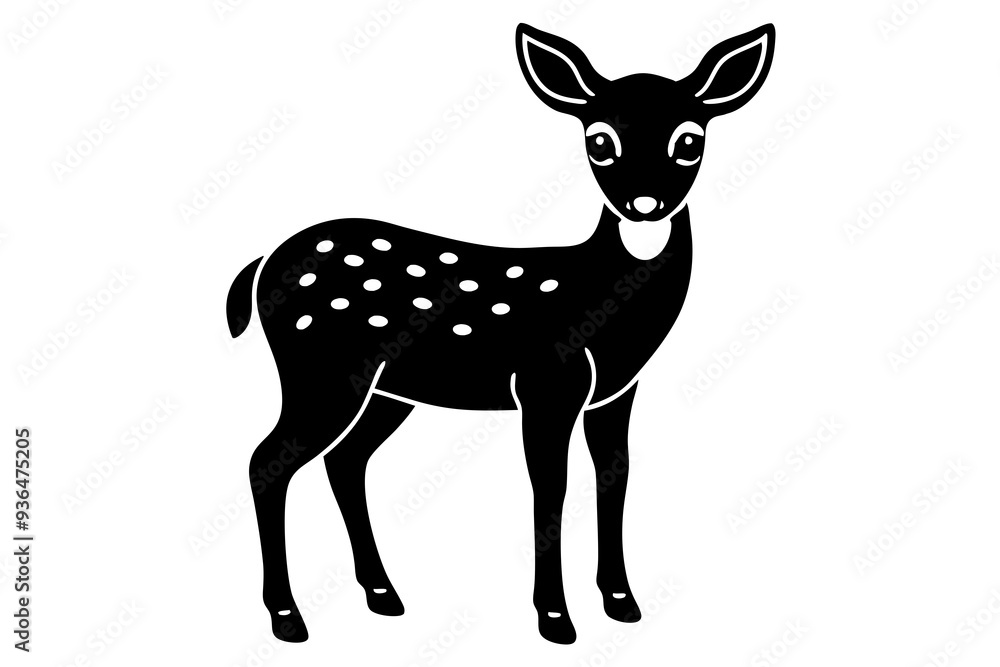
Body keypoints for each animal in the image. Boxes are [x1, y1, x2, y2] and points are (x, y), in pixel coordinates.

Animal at [226, 22, 775, 645]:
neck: (604, 301)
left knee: (343, 461)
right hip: (319, 368)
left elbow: (615, 475)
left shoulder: (617, 391)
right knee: (267, 461)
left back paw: (383, 595)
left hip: (385, 389)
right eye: (600, 140)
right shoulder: (546, 382)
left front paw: (622, 602)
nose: (644, 204)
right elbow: (550, 487)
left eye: (689, 140)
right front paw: (556, 619)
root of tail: (262, 265)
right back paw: (287, 617)